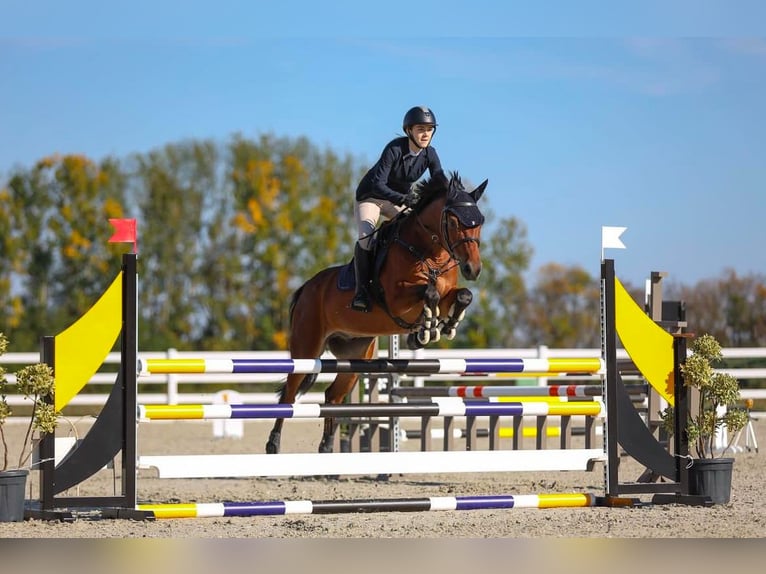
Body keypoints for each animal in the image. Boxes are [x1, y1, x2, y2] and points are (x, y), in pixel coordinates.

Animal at [268, 173, 488, 456]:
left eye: (479, 222)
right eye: (452, 221)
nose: (473, 269)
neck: (430, 253)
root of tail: (306, 287)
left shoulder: (448, 292)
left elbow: (463, 296)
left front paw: (446, 326)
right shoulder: (397, 298)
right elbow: (429, 294)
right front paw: (425, 330)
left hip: (355, 358)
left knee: (332, 395)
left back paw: (326, 448)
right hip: (306, 348)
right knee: (289, 393)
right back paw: (273, 444)